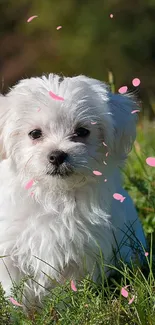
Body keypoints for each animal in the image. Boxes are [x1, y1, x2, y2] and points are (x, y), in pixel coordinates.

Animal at [0, 74, 147, 302]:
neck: (55, 194)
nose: (57, 155)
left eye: (82, 131)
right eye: (34, 133)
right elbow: (16, 287)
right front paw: (21, 309)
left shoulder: (83, 250)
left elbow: (70, 288)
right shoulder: (11, 249)